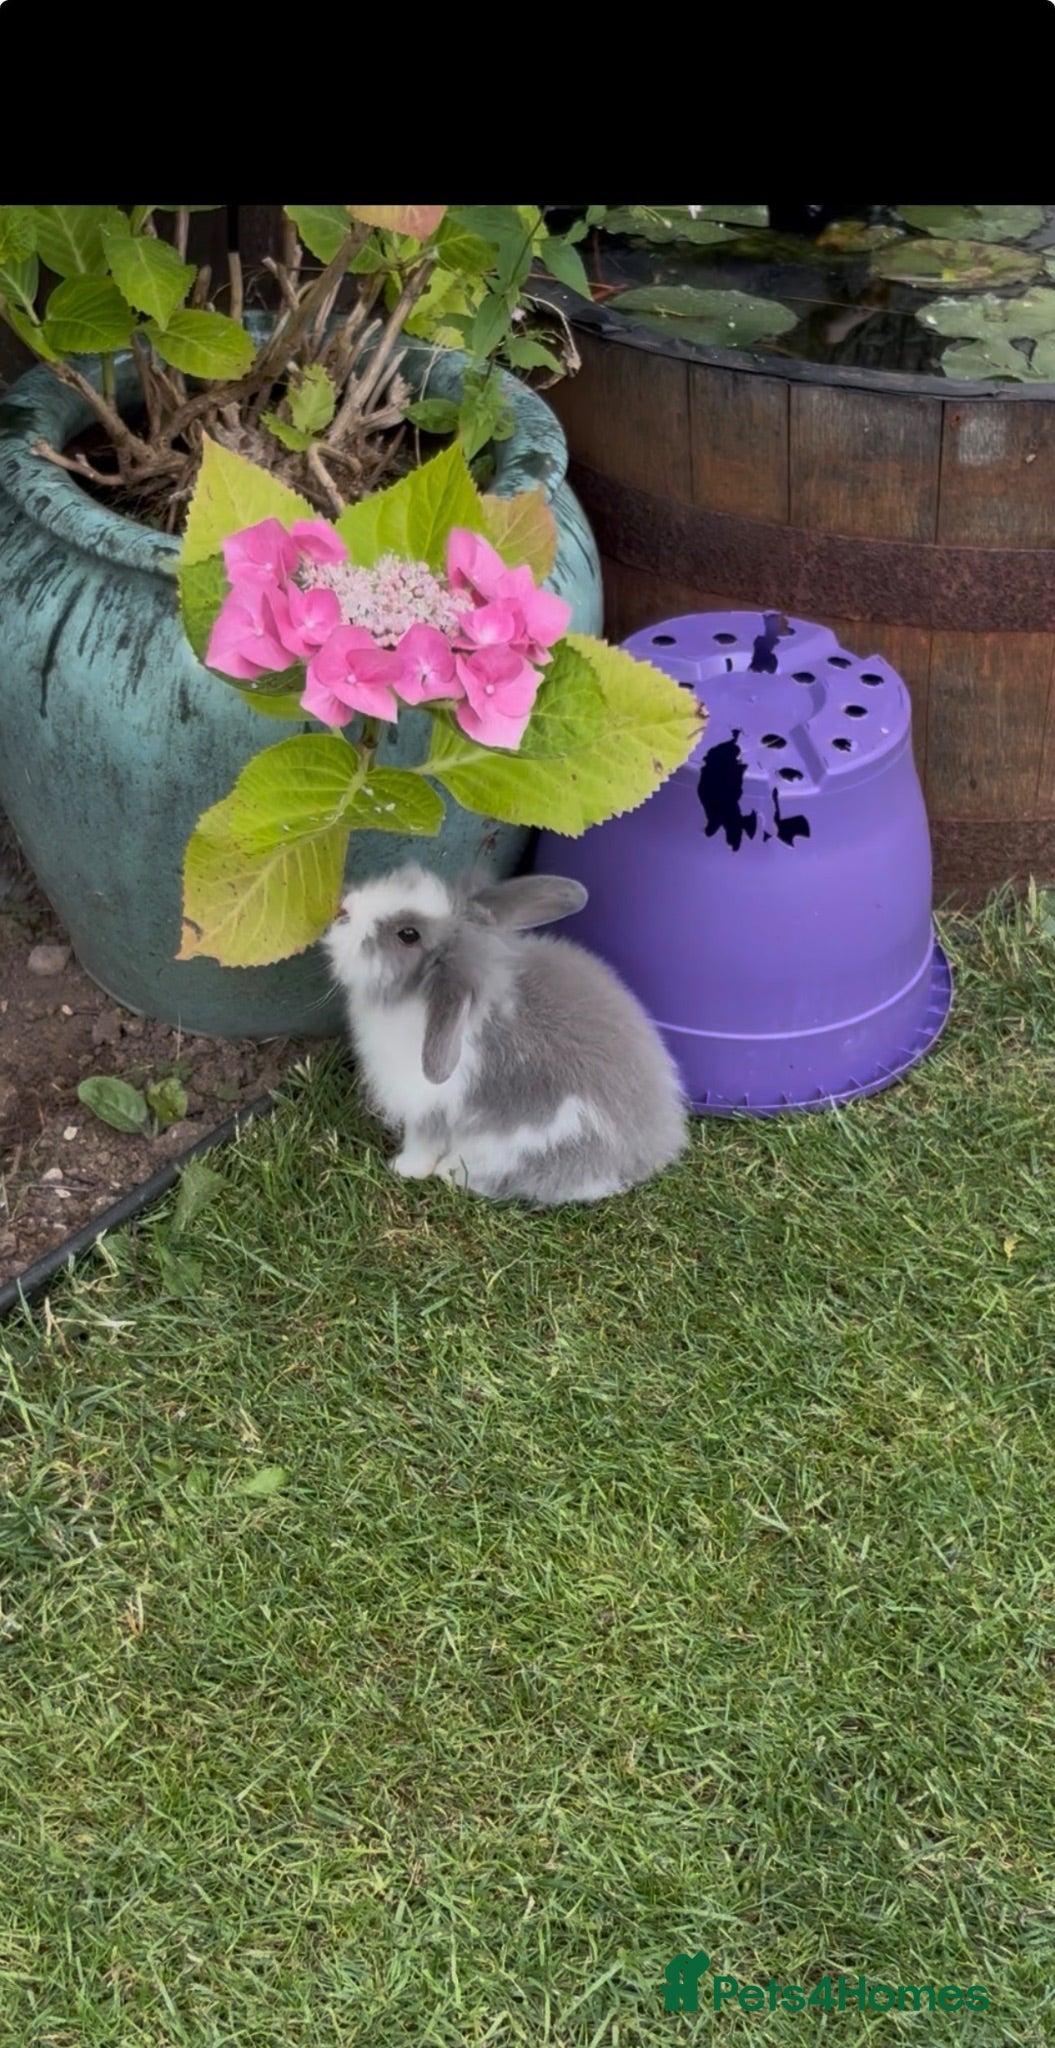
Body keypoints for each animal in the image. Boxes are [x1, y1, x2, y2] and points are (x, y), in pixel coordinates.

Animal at [323, 863, 688, 1206]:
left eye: (408, 934)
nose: (344, 908)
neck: (421, 998)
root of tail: (650, 1150)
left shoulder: (429, 1106)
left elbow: (422, 1144)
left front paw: (404, 1169)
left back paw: (450, 1172)